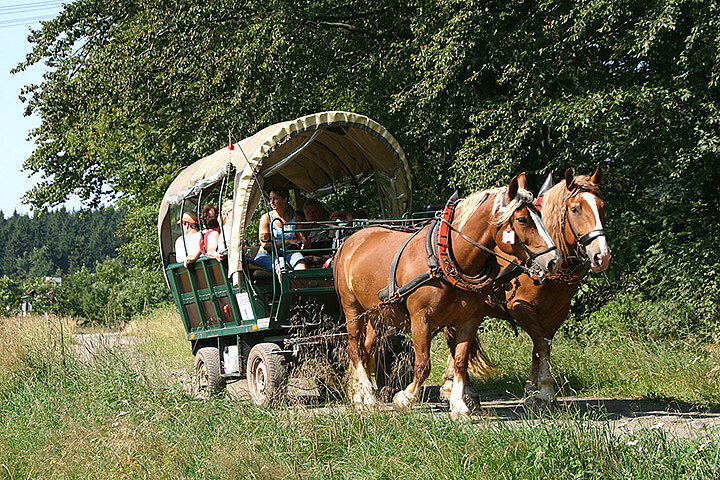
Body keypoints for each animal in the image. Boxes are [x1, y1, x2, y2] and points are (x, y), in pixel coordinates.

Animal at [334, 174, 564, 418]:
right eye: (522, 220)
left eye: (539, 215)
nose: (554, 260)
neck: (446, 259)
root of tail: (350, 241)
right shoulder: (421, 319)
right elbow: (423, 364)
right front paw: (405, 398)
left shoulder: (469, 319)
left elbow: (461, 361)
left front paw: (460, 405)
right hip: (352, 309)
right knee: (355, 350)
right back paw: (367, 396)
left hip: (377, 314)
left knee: (367, 350)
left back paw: (361, 396)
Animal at [438, 165, 612, 404]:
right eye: (575, 209)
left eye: (602, 207)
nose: (602, 256)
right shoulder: (520, 307)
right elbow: (541, 343)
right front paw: (546, 390)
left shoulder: (556, 314)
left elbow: (541, 346)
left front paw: (532, 389)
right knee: (453, 339)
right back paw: (455, 387)